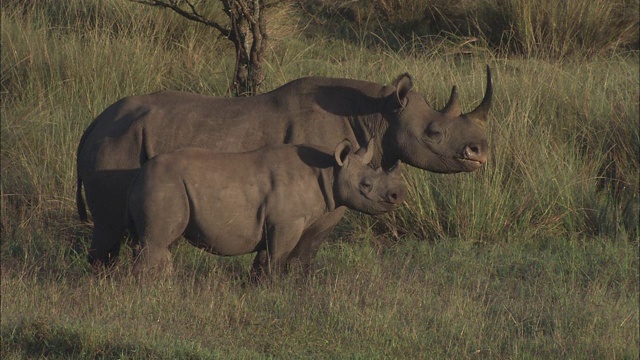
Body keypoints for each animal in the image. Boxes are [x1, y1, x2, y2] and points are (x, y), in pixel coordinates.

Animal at [125, 139, 404, 278]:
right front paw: (272, 289)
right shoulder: (287, 222)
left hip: (163, 185)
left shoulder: (276, 222)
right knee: (156, 243)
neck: (329, 170)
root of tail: (140, 173)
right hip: (165, 184)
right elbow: (278, 256)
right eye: (366, 185)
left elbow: (265, 256)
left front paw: (255, 285)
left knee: (157, 242)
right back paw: (151, 290)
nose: (396, 195)